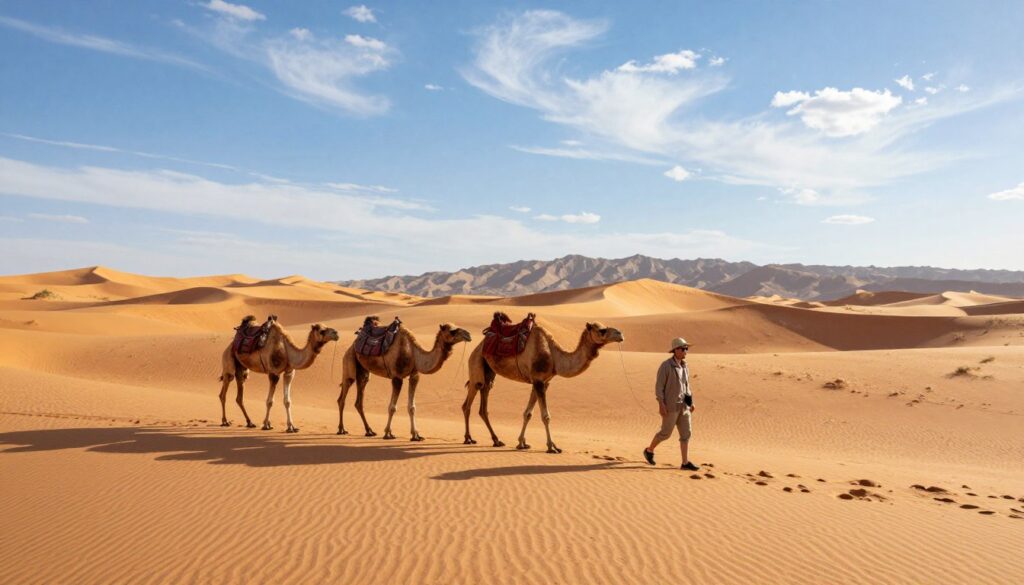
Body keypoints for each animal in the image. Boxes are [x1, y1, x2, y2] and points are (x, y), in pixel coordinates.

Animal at [337, 322, 472, 440]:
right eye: (452, 331)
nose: (468, 335)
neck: (413, 353)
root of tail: (353, 345)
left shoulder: (414, 376)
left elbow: (412, 407)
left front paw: (416, 435)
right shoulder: (397, 377)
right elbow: (392, 407)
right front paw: (388, 433)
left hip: (363, 372)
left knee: (359, 400)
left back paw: (369, 431)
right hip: (349, 362)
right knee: (342, 397)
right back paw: (342, 429)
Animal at [462, 314, 624, 453]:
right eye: (602, 330)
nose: (620, 334)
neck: (554, 357)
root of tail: (478, 346)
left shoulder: (542, 382)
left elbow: (528, 413)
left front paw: (522, 443)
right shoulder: (538, 381)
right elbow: (545, 416)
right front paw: (552, 447)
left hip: (489, 372)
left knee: (484, 403)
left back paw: (496, 440)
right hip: (476, 362)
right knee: (468, 402)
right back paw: (469, 439)